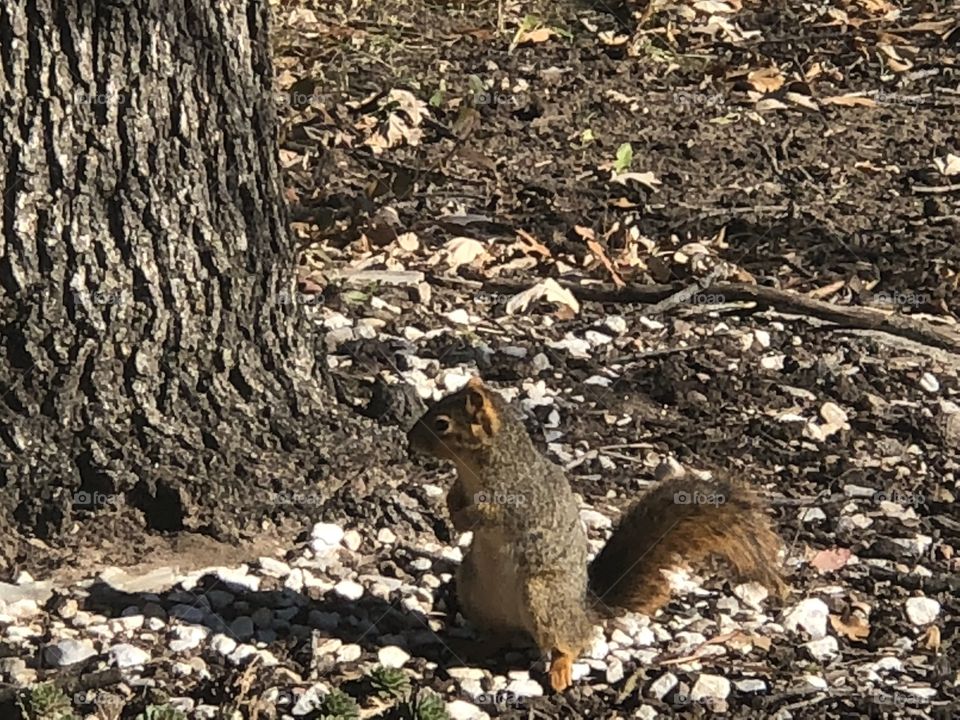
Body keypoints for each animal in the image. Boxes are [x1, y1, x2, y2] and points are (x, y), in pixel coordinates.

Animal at [407, 377, 788, 692]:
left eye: (442, 424)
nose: (410, 439)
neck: (477, 467)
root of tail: (585, 608)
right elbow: (455, 497)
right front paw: (452, 509)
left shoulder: (519, 501)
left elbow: (490, 515)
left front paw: (466, 517)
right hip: (473, 588)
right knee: (502, 635)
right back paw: (473, 645)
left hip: (542, 597)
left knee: (573, 642)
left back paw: (560, 669)